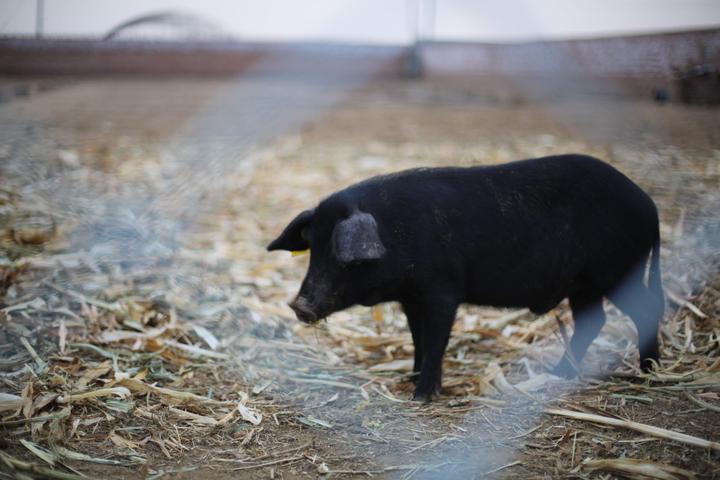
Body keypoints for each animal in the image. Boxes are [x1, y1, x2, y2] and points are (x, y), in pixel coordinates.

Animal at [268, 155, 664, 402]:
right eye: (313, 250)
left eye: (343, 258)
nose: (299, 305)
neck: (397, 235)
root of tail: (650, 207)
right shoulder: (411, 298)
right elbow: (418, 339)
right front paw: (410, 378)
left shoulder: (442, 292)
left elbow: (436, 341)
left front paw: (422, 396)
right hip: (583, 285)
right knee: (593, 321)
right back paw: (560, 375)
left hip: (617, 271)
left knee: (644, 311)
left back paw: (649, 372)